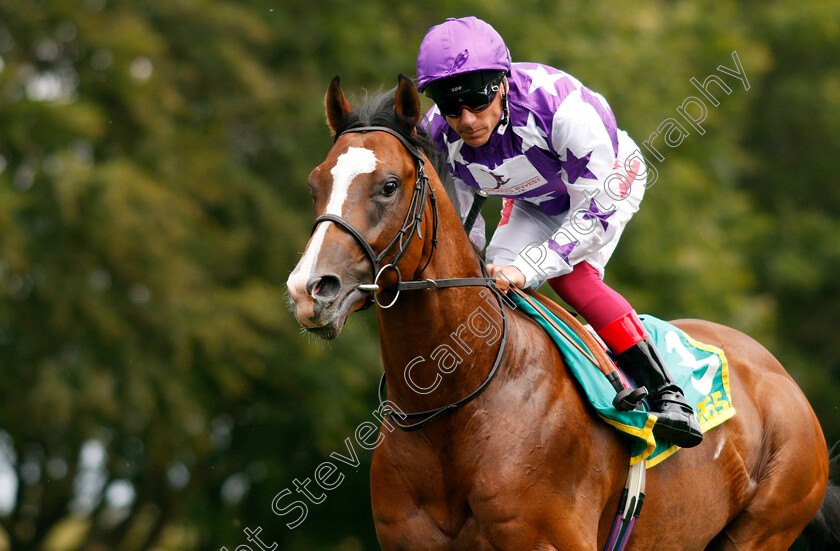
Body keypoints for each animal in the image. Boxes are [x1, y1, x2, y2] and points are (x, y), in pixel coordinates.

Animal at [286, 75, 836, 548]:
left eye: (388, 186)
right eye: (314, 184)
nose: (310, 289)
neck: (457, 401)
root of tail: (777, 374)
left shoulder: (546, 538)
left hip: (766, 524)